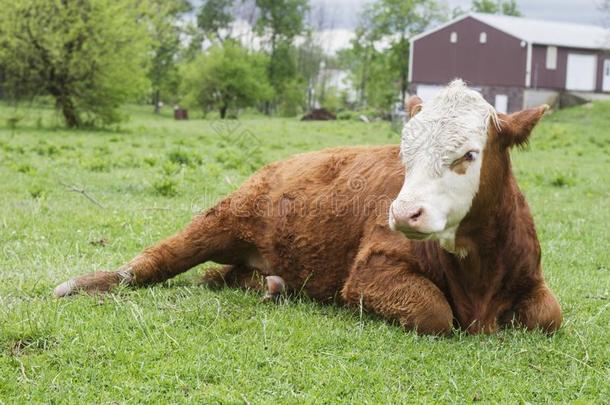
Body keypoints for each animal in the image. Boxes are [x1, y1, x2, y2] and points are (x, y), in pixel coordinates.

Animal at [53, 79, 560, 334]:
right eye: (404, 153)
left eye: (468, 155)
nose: (403, 214)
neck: (479, 280)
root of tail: (275, 165)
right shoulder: (369, 272)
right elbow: (434, 313)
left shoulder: (532, 278)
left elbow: (549, 317)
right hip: (219, 219)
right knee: (152, 263)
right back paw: (81, 284)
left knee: (220, 276)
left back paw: (272, 285)